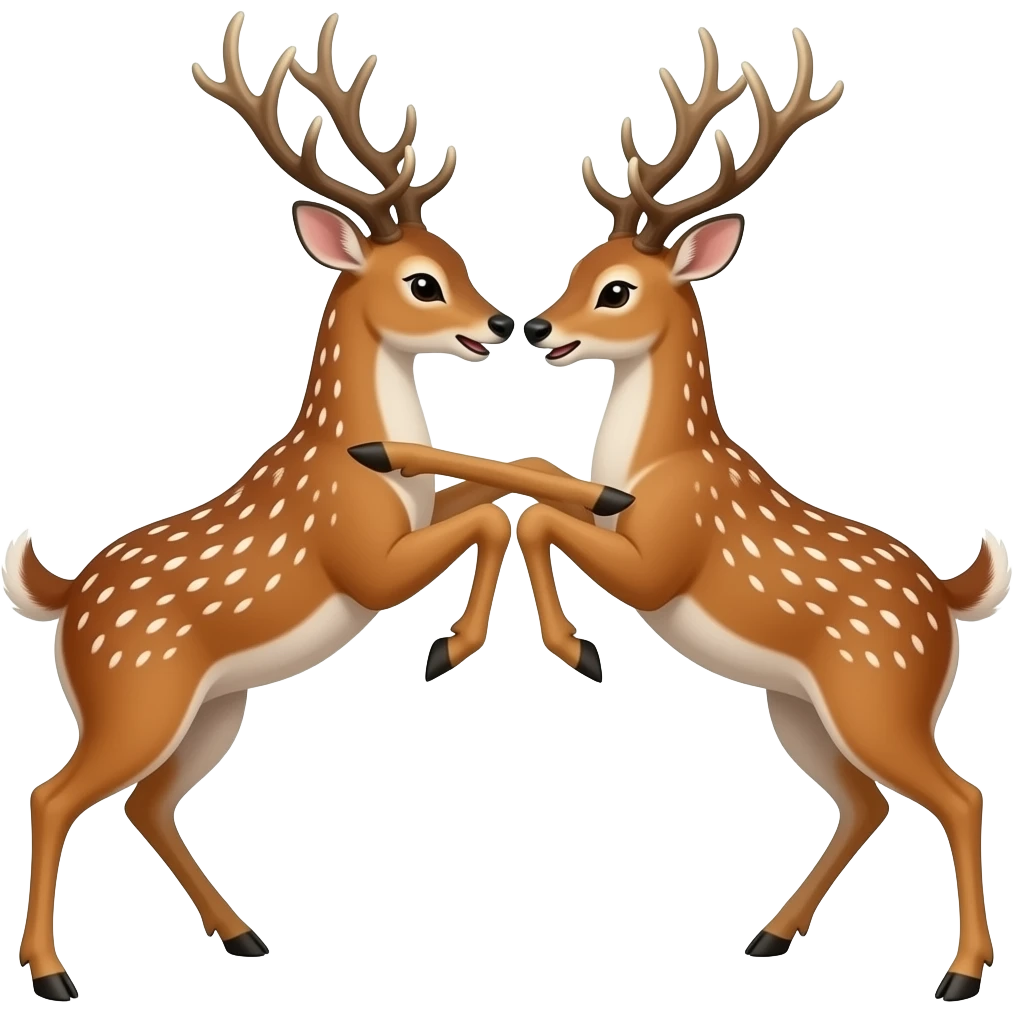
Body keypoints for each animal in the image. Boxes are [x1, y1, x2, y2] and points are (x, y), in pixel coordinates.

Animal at [6, 11, 637, 1002]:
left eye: (457, 259)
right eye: (421, 280)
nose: (504, 324)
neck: (350, 451)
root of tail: (65, 601)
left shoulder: (415, 510)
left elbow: (500, 474)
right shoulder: (360, 560)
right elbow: (483, 515)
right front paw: (455, 648)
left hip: (213, 707)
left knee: (146, 801)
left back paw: (241, 935)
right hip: (132, 692)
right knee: (55, 792)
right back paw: (53, 973)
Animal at [349, 27, 1010, 1003]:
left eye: (617, 288)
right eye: (580, 266)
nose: (532, 329)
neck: (663, 461)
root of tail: (948, 601)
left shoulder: (666, 556)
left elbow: (545, 516)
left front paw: (572, 649)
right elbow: (542, 481)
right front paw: (390, 463)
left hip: (879, 694)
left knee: (957, 794)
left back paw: (958, 975)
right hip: (799, 704)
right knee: (864, 800)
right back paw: (770, 933)